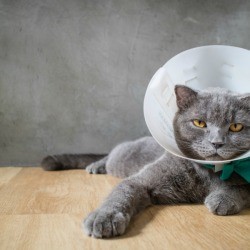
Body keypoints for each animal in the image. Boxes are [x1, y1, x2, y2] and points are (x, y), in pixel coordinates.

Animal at [41, 85, 250, 238]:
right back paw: (96, 165)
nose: (217, 142)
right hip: (121, 158)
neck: (209, 172)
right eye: (199, 123)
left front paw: (222, 199)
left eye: (236, 127)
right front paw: (104, 217)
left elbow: (241, 188)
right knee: (109, 156)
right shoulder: (140, 181)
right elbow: (122, 192)